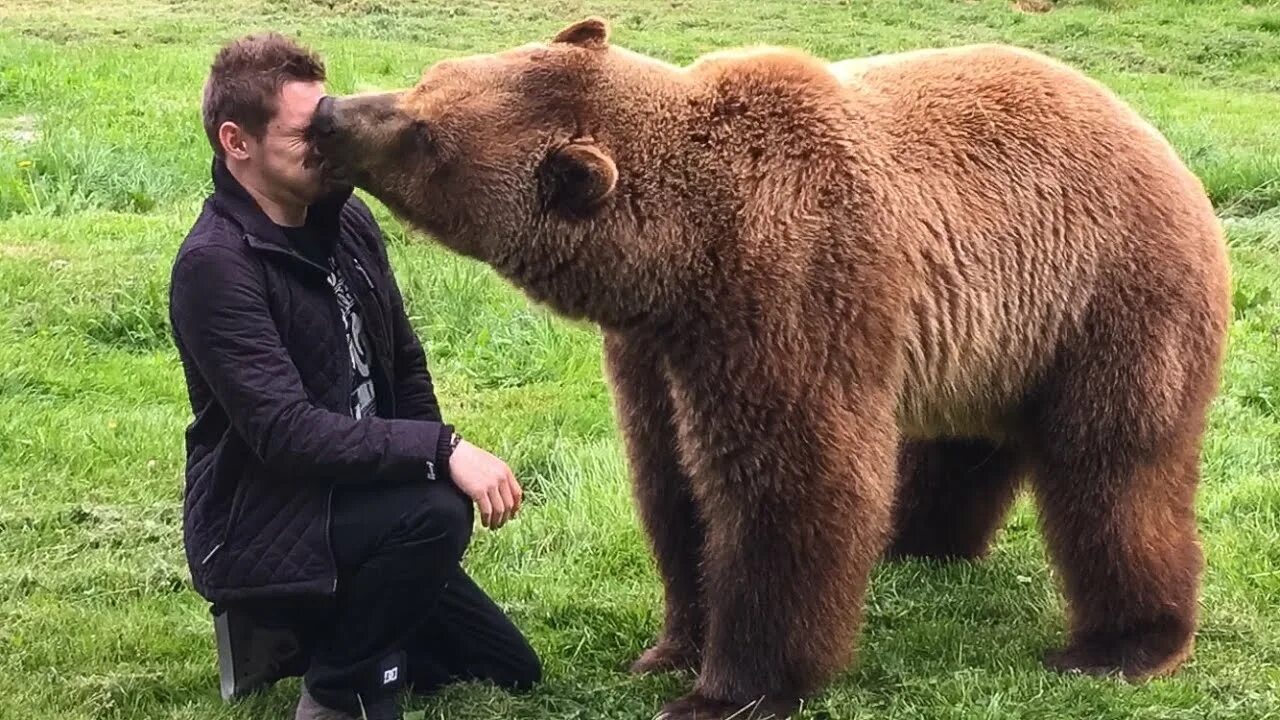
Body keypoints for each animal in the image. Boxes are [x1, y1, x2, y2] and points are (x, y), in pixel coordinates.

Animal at [307, 18, 1228, 717]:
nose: (328, 113)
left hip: (1109, 300)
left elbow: (786, 488)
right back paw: (914, 543)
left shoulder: (789, 295)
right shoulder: (655, 350)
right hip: (998, 338)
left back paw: (1123, 644)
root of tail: (1171, 157)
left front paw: (725, 690)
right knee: (962, 447)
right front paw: (671, 645)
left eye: (424, 135)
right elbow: (672, 484)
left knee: (1114, 470)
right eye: (431, 80)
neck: (678, 259)